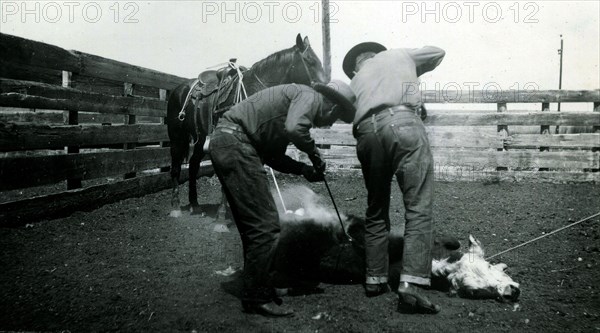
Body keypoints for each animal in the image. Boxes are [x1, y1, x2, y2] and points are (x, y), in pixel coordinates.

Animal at [166, 33, 326, 215]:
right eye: (310, 61)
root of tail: (179, 89)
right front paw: (224, 212)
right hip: (176, 137)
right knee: (176, 167)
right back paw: (176, 207)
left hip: (200, 140)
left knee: (193, 165)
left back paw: (195, 204)